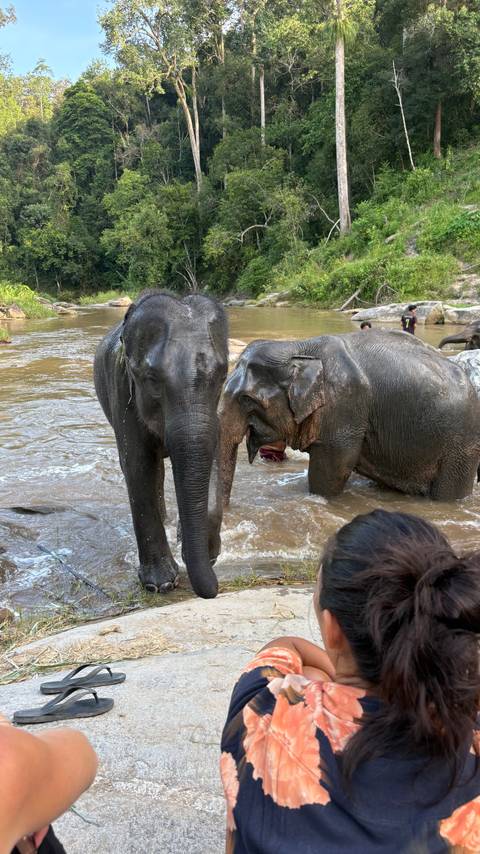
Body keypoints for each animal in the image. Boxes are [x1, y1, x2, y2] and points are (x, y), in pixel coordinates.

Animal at [94, 291, 228, 599]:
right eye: (151, 379)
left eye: (223, 375)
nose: (215, 589)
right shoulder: (123, 391)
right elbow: (138, 466)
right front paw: (161, 584)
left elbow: (213, 451)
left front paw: (209, 554)